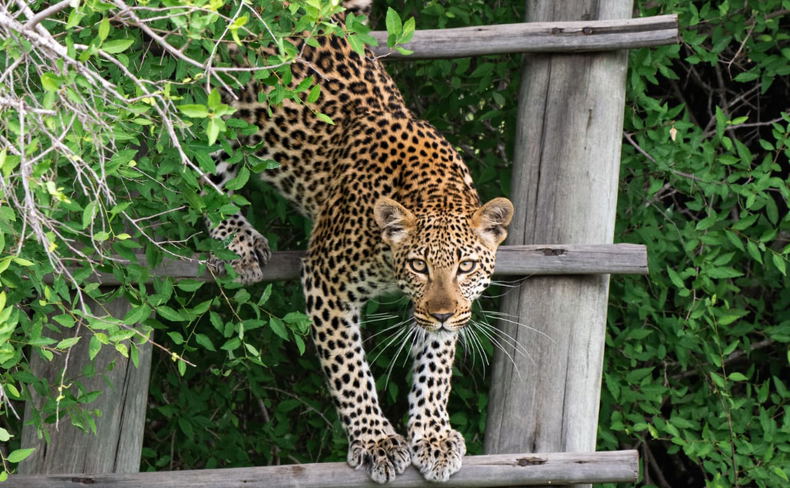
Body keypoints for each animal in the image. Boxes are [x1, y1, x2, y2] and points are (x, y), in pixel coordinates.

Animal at [206, 0, 514, 483]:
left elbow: (435, 365)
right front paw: (376, 441)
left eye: (465, 267)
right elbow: (348, 368)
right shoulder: (326, 280)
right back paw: (236, 239)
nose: (442, 314)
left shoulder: (446, 312)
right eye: (419, 266)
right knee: (198, 168)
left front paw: (433, 436)